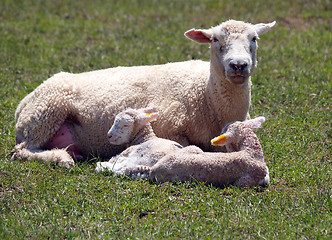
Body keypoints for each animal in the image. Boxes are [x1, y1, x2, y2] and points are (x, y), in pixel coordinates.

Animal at [13, 19, 276, 168]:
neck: (207, 95)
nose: (238, 65)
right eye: (215, 39)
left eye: (254, 38)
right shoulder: (170, 129)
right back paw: (61, 158)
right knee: (22, 151)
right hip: (45, 113)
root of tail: (23, 103)